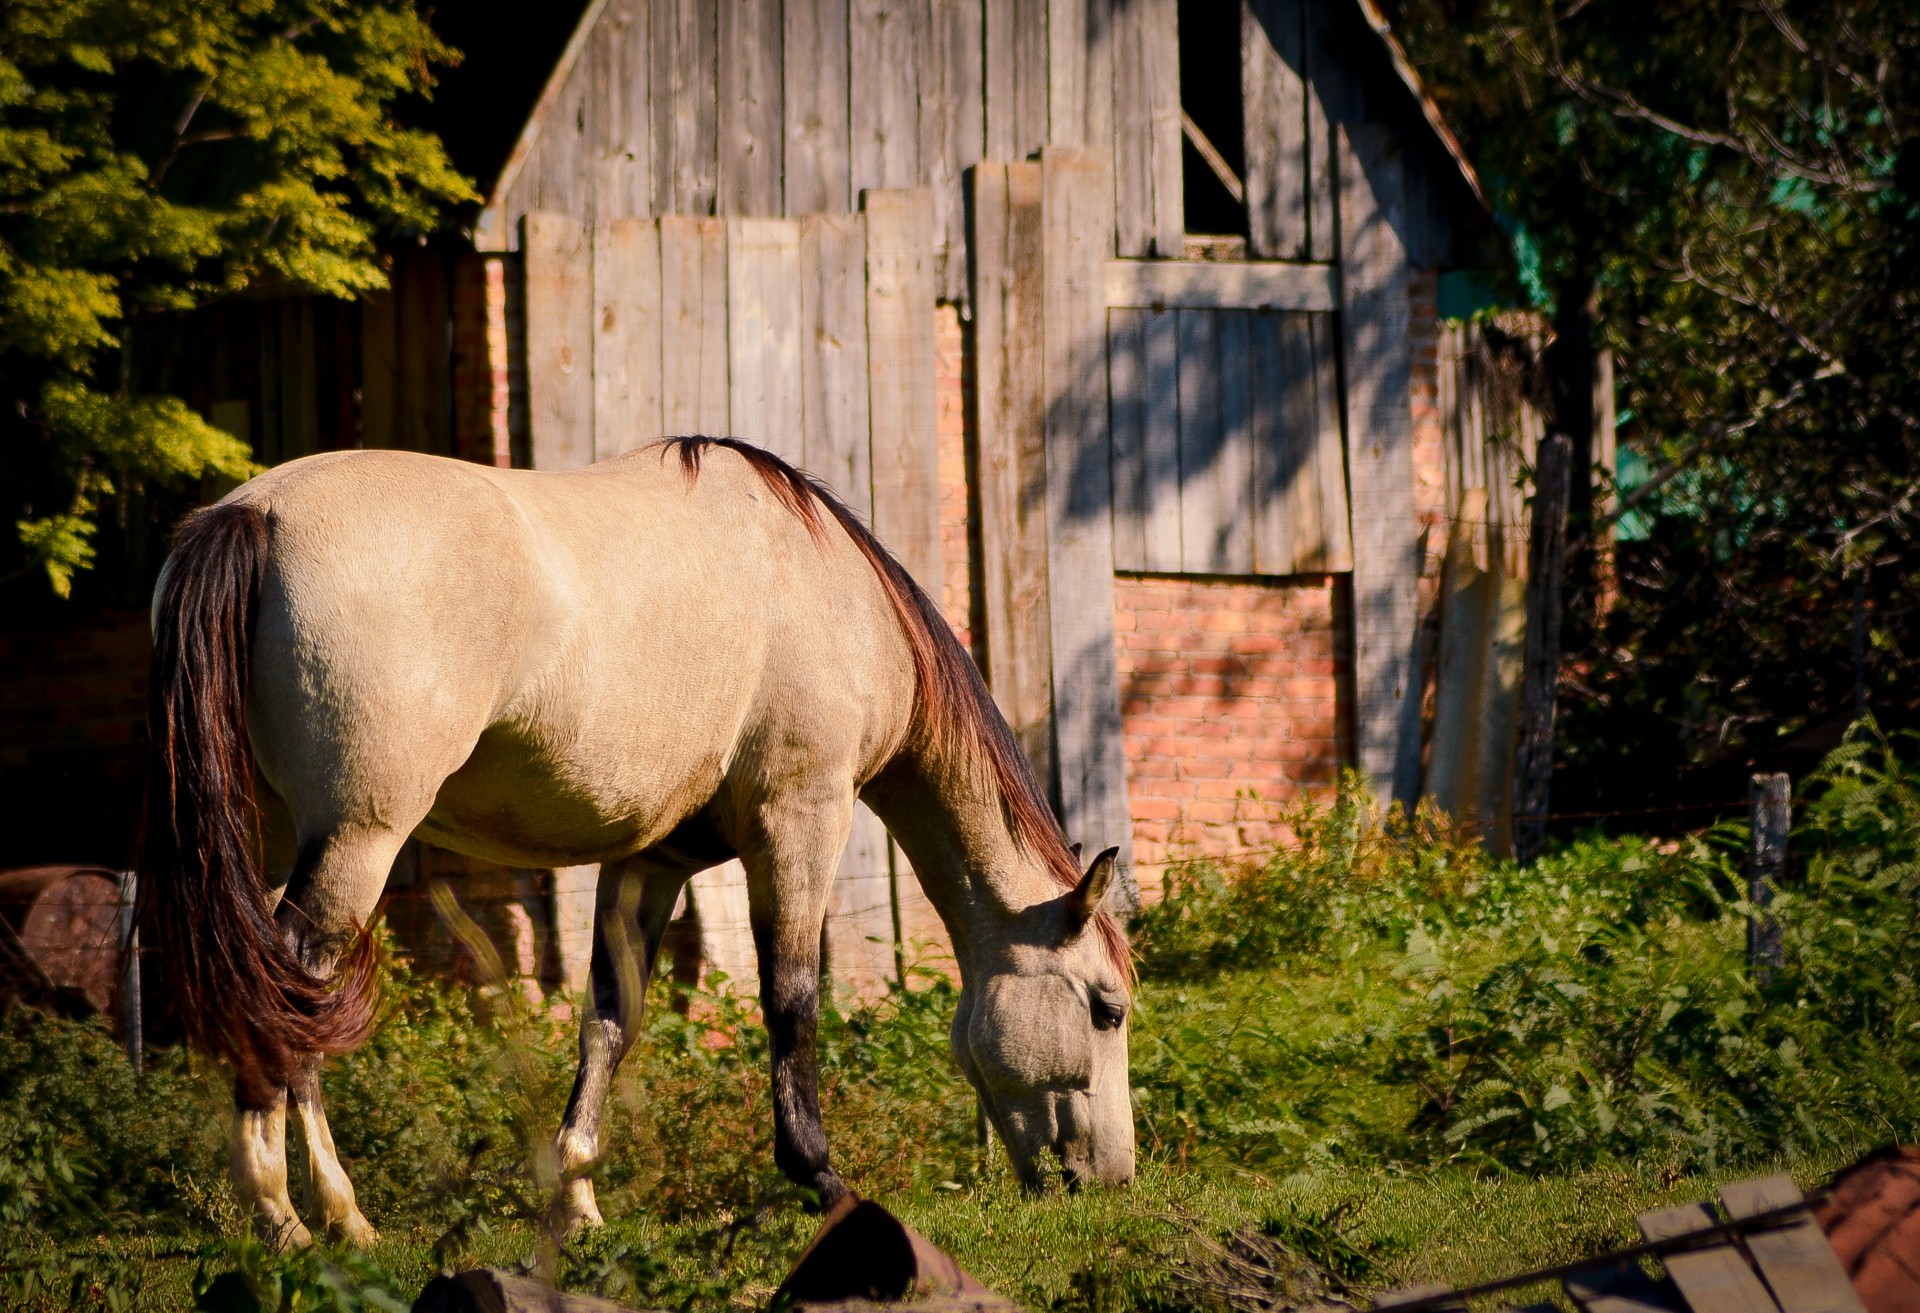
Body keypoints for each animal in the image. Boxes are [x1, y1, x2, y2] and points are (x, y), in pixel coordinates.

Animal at [145, 435, 1136, 1243]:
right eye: (1107, 1007)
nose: (1114, 1180)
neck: (823, 586)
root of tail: (251, 515)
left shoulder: (650, 861)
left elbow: (608, 1019)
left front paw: (575, 1200)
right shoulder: (800, 816)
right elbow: (792, 1001)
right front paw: (821, 1178)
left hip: (284, 839)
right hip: (358, 841)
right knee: (290, 990)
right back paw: (303, 1215)